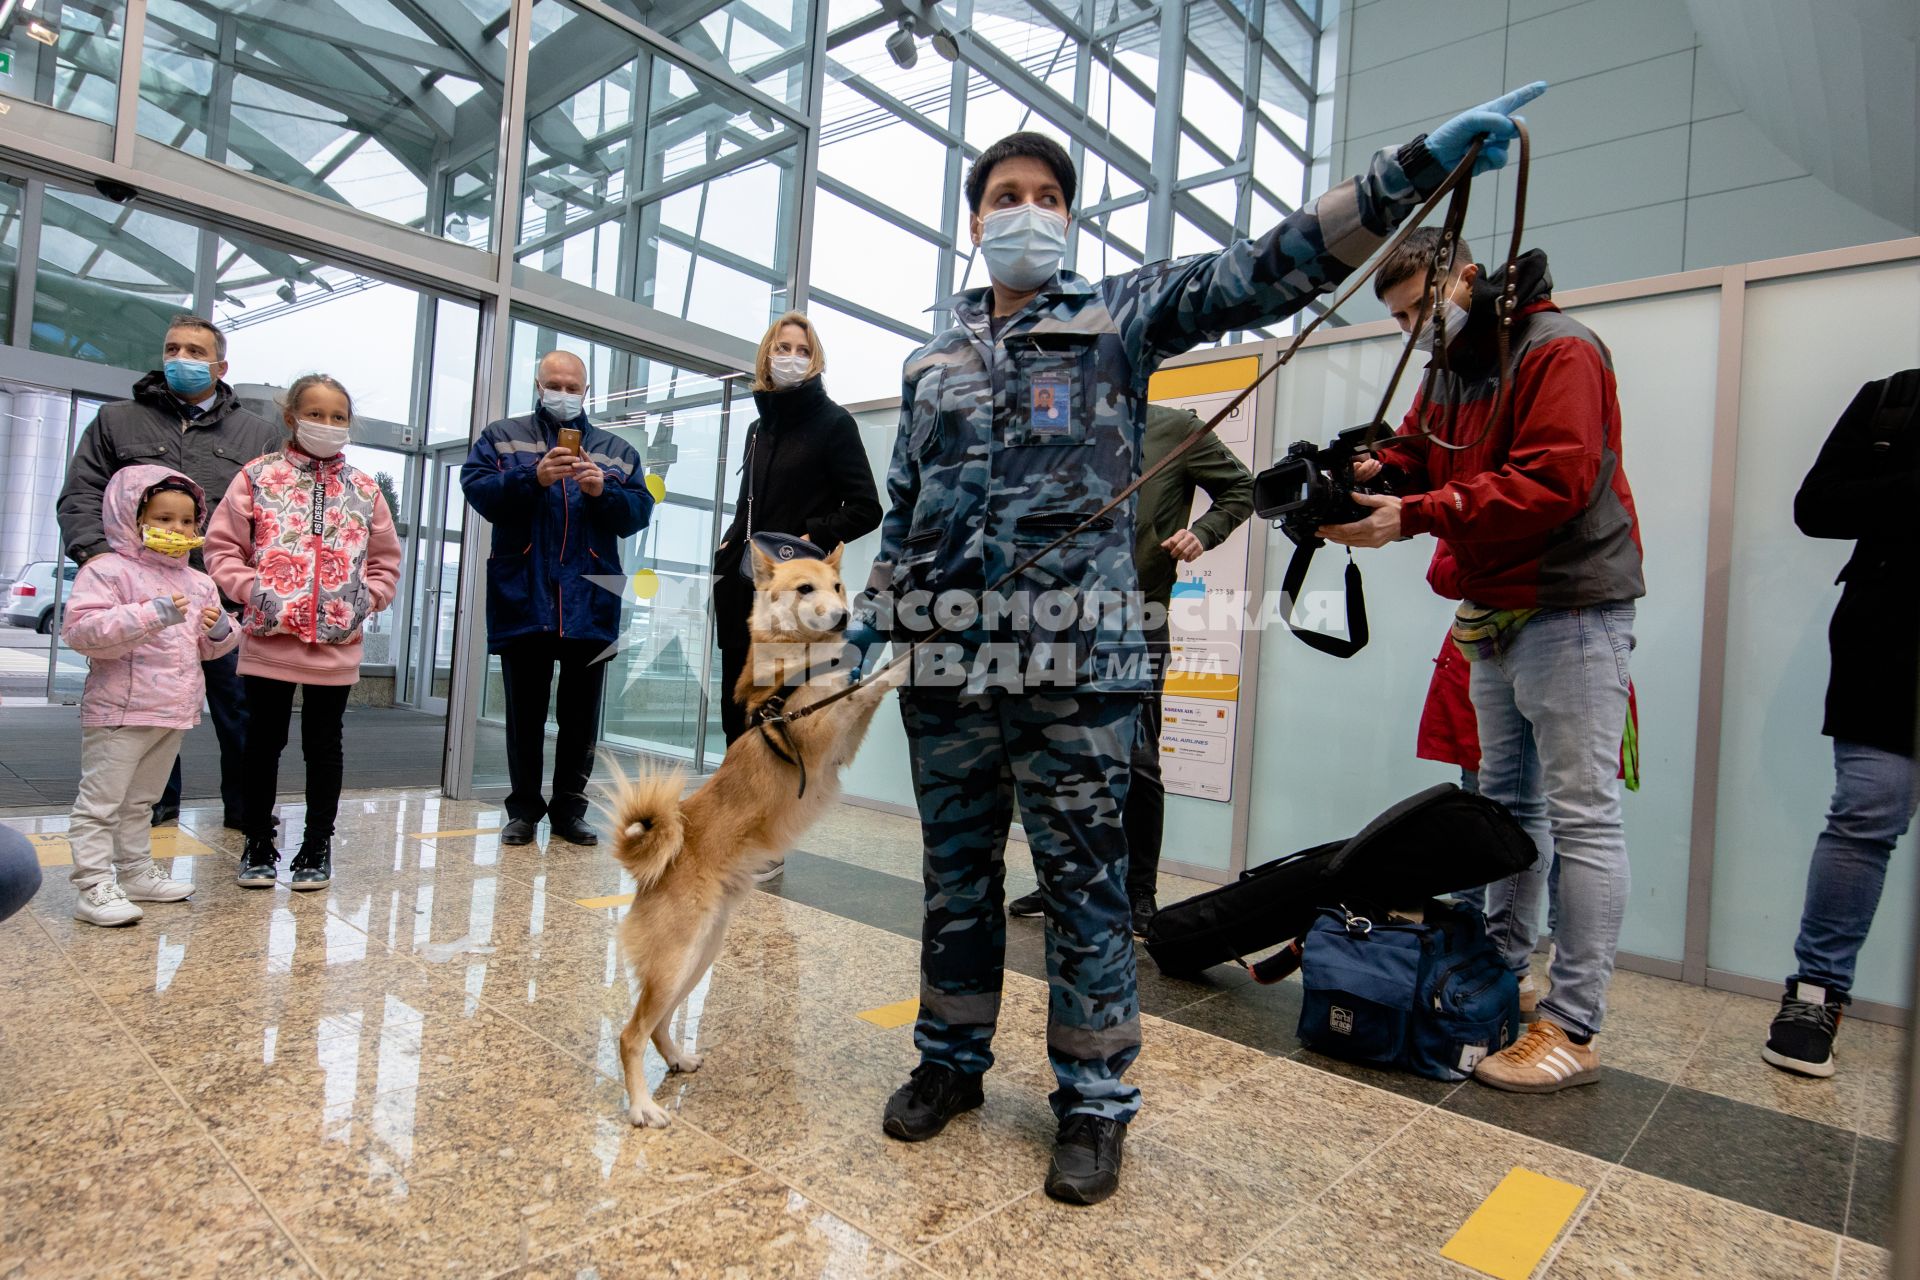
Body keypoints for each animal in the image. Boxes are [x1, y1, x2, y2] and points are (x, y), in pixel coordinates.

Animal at [602, 545, 894, 1128]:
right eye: (806, 589)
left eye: (838, 586)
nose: (846, 618)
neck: (798, 663)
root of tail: (653, 869)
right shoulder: (819, 728)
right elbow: (865, 687)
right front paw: (920, 656)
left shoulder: (843, 745)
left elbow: (863, 687)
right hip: (677, 959)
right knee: (630, 1034)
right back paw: (642, 1106)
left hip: (697, 958)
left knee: (658, 1023)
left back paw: (676, 1059)